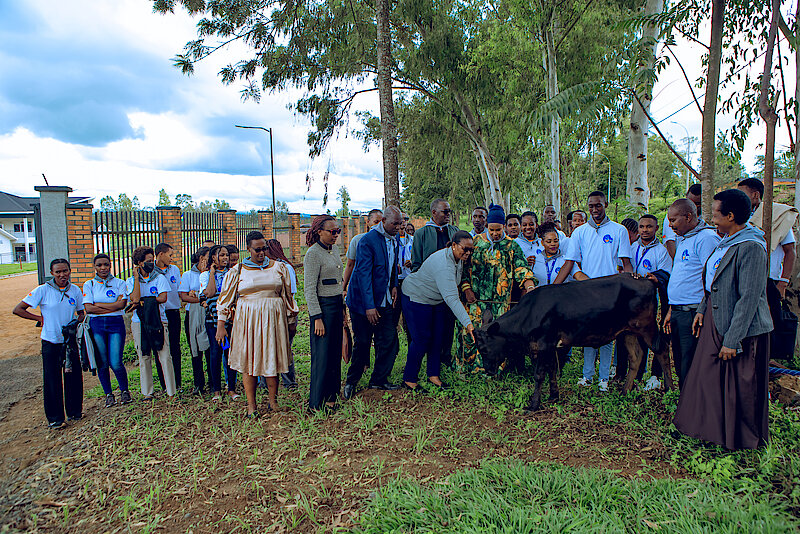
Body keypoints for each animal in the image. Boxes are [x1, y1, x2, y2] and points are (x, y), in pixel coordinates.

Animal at [474, 274, 673, 411]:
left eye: (484, 349)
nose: (488, 371)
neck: (530, 314)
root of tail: (646, 279)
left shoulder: (544, 343)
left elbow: (539, 375)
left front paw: (533, 404)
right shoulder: (551, 346)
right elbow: (552, 370)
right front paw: (554, 396)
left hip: (647, 326)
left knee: (662, 349)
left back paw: (669, 389)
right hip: (627, 332)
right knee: (635, 357)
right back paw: (625, 391)